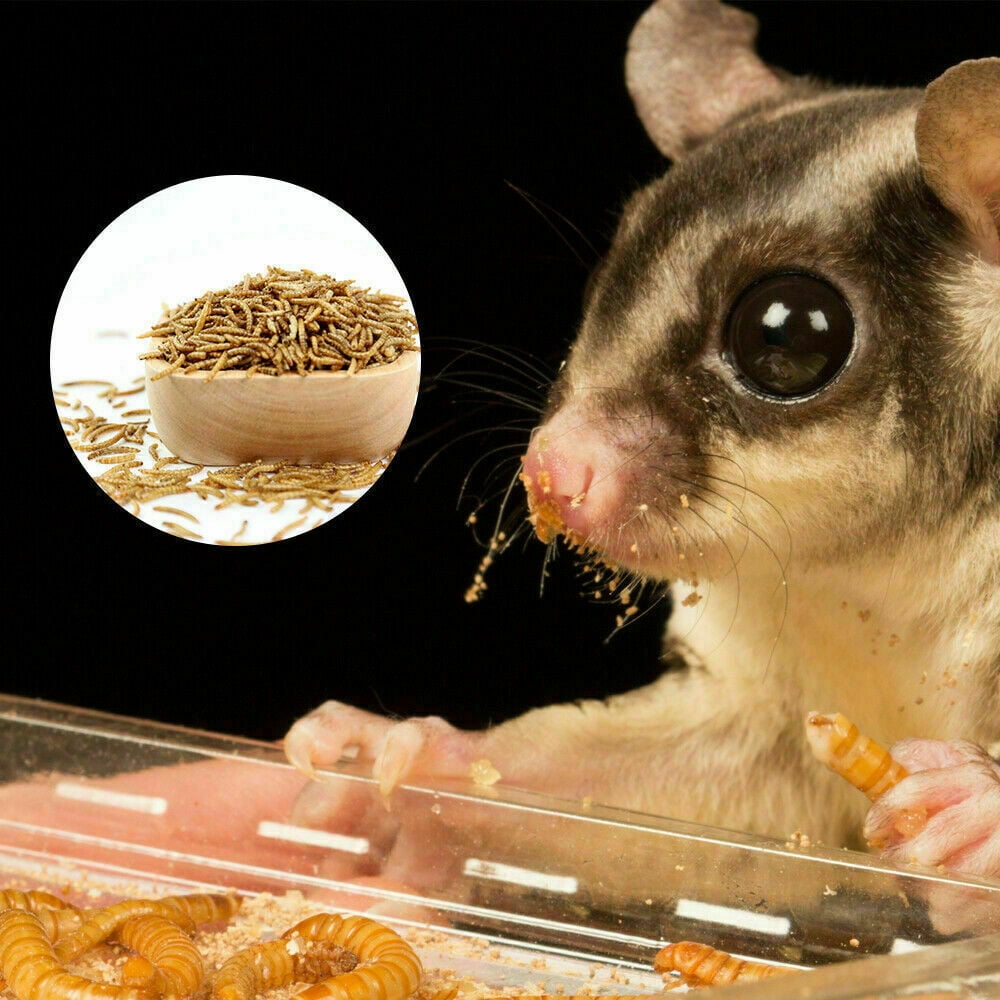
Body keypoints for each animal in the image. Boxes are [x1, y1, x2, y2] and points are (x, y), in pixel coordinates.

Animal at [285, 0, 999, 879]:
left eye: (790, 335)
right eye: (606, 283)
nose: (553, 475)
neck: (881, 570)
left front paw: (974, 808)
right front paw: (413, 755)